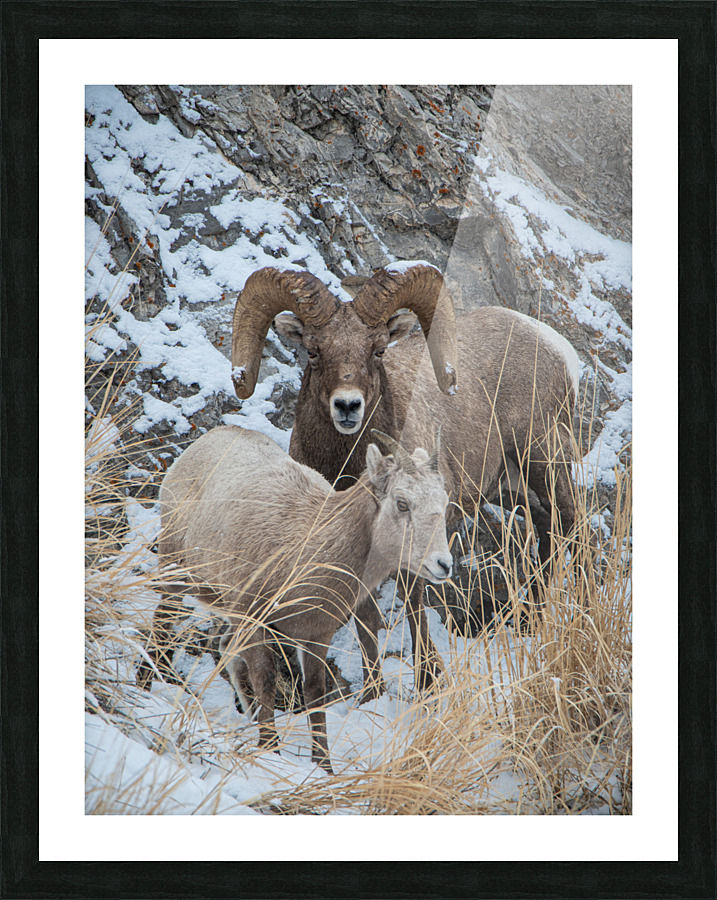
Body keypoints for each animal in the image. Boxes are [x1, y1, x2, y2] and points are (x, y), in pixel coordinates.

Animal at [137, 425, 451, 773]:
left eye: (444, 501)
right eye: (402, 503)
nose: (443, 564)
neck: (307, 547)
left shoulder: (315, 635)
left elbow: (315, 693)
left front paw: (323, 766)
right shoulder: (255, 621)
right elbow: (266, 680)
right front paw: (270, 749)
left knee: (226, 647)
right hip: (176, 572)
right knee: (163, 627)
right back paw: (144, 690)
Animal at [230, 263, 581, 691]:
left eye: (378, 350)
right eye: (313, 351)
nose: (347, 406)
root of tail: (552, 343)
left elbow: (413, 604)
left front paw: (428, 681)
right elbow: (365, 617)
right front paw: (371, 691)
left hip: (544, 456)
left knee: (569, 520)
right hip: (507, 486)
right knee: (547, 525)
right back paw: (533, 621)